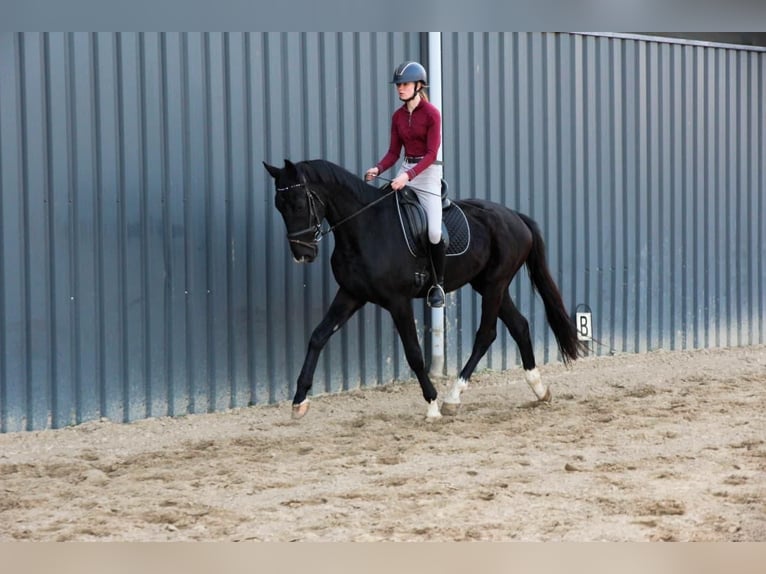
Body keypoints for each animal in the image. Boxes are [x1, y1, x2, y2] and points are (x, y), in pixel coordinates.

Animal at [264, 159, 586, 419]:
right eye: (279, 206)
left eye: (299, 204)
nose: (302, 254)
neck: (365, 227)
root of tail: (515, 216)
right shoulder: (351, 294)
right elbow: (317, 337)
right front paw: (299, 401)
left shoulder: (397, 301)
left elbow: (414, 353)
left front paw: (431, 404)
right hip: (490, 285)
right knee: (519, 326)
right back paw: (539, 389)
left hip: (495, 284)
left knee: (486, 335)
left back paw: (453, 398)